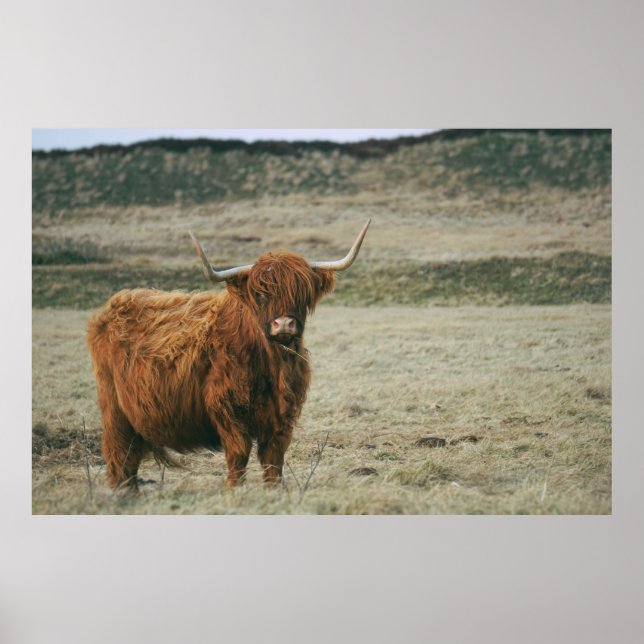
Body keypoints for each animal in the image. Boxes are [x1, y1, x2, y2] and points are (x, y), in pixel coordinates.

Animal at [87, 220, 370, 492]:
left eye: (302, 292)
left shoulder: (282, 415)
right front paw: (234, 490)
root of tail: (114, 303)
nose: (284, 324)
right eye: (260, 294)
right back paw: (123, 495)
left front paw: (274, 491)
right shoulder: (227, 408)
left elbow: (273, 458)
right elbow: (239, 454)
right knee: (119, 454)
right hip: (114, 407)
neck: (272, 365)